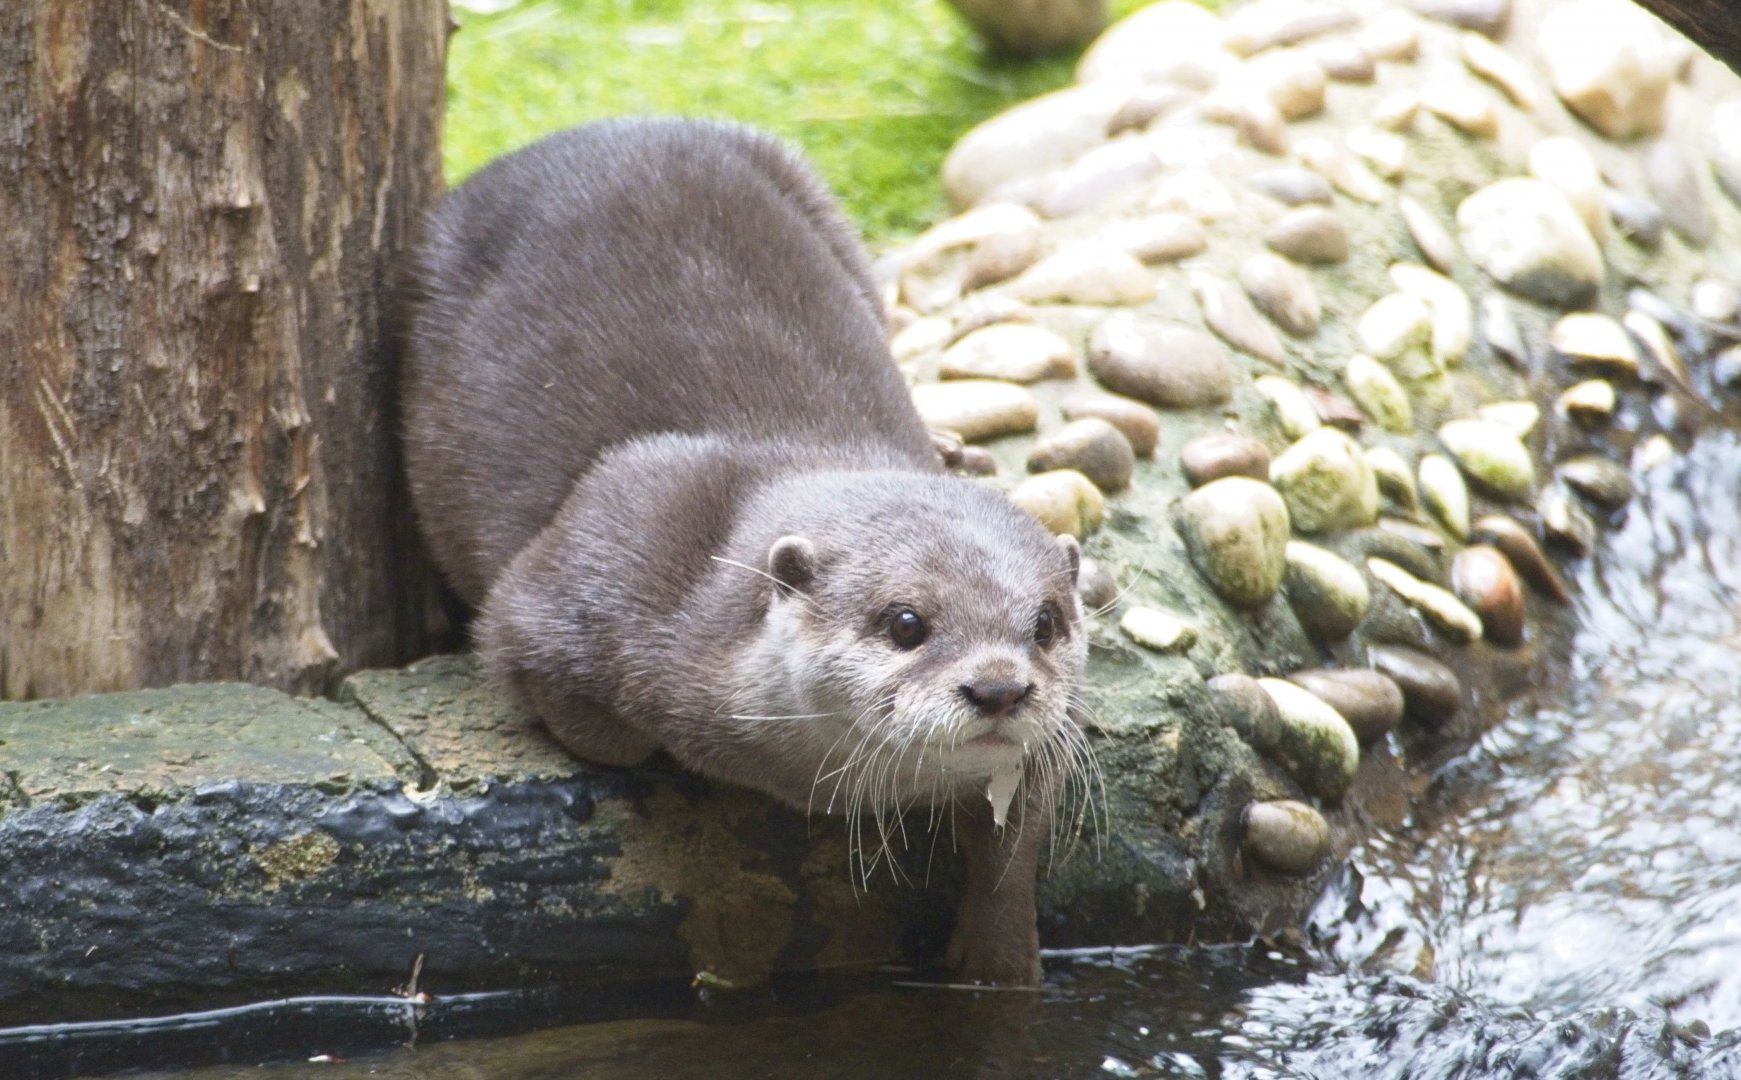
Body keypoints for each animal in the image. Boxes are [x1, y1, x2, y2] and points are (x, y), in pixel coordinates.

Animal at [400, 118, 1092, 987]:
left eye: (1045, 625)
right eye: (905, 622)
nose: (1000, 688)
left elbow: (1012, 849)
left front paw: (997, 957)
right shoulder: (576, 579)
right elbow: (595, 720)